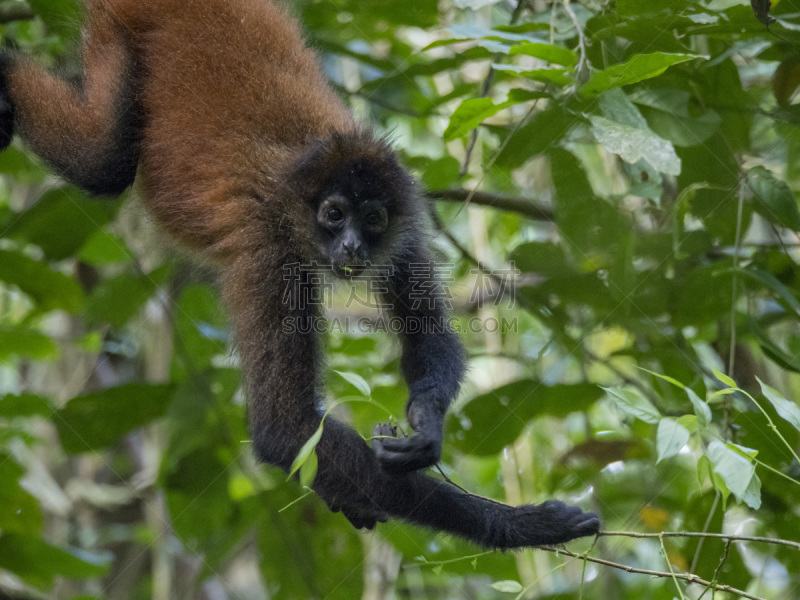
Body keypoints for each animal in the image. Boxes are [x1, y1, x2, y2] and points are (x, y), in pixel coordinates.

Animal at [0, 0, 600, 548]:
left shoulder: (401, 226)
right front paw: (524, 525)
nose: (352, 243)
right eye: (333, 214)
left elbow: (429, 335)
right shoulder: (270, 248)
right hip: (118, 25)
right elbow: (284, 432)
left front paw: (427, 430)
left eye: (371, 219)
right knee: (104, 159)